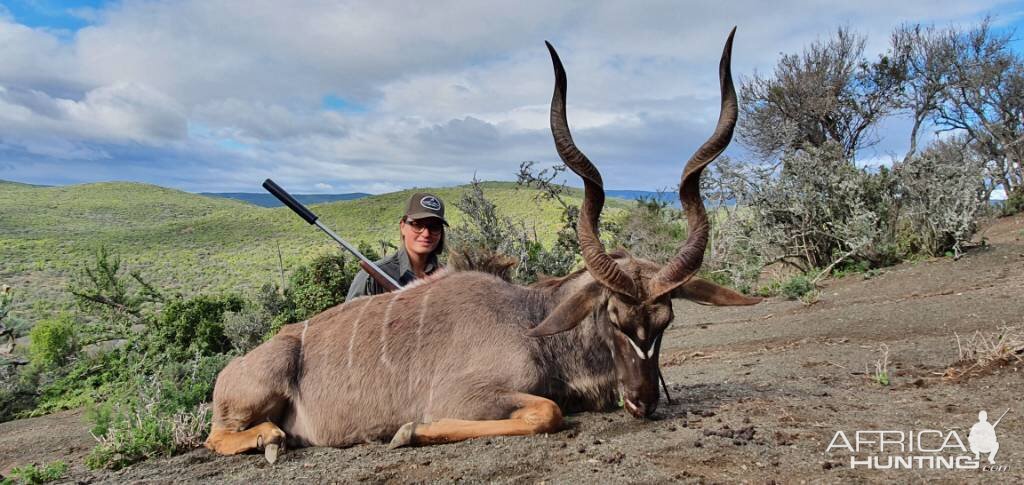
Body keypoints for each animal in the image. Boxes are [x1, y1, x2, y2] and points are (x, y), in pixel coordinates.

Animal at [203, 28, 757, 464]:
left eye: (666, 321)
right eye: (614, 318)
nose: (643, 403)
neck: (531, 322)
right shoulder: (465, 395)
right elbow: (547, 412)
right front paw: (407, 431)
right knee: (218, 436)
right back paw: (272, 439)